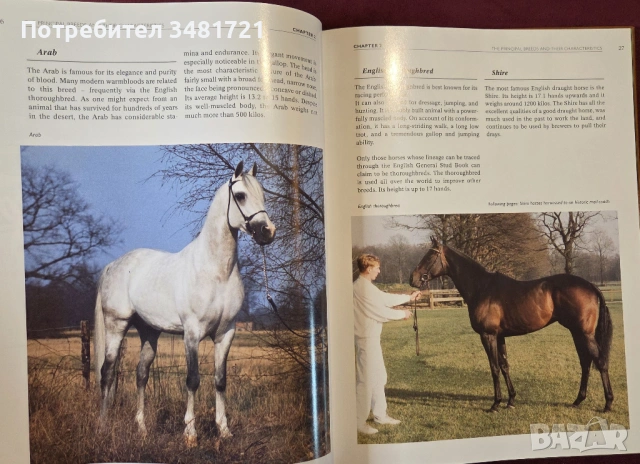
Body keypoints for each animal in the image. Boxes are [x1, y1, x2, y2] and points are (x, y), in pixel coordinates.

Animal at [94, 161, 276, 446]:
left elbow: (220, 380)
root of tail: (113, 265)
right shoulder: (192, 333)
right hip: (116, 326)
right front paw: (190, 433)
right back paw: (102, 426)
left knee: (141, 374)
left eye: (263, 195)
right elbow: (192, 380)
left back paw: (142, 428)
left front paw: (224, 429)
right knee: (107, 372)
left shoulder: (226, 333)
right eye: (240, 196)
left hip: (149, 331)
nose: (268, 232)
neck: (216, 272)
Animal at [410, 236, 614, 413]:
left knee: (600, 361)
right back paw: (578, 400)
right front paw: (511, 400)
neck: (481, 287)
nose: (413, 278)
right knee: (585, 362)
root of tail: (590, 286)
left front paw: (495, 404)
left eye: (430, 256)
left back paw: (608, 403)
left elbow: (494, 368)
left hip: (584, 334)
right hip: (576, 332)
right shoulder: (500, 336)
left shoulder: (488, 335)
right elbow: (504, 366)